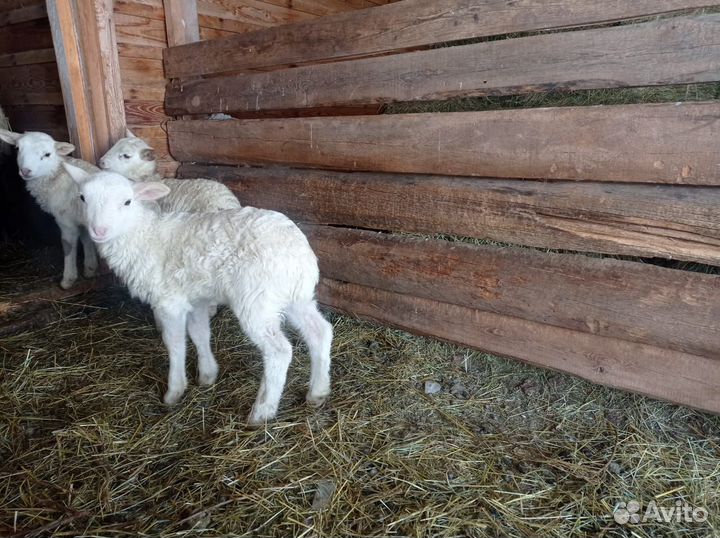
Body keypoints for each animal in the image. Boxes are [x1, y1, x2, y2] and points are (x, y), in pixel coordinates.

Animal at [0, 129, 99, 289]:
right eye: (17, 148)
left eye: (47, 154)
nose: (26, 171)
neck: (56, 175)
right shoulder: (81, 219)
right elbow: (86, 240)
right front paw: (90, 269)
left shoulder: (66, 221)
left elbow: (68, 246)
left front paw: (68, 280)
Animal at [63, 163, 333, 425]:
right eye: (83, 197)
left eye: (127, 201)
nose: (98, 230)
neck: (142, 235)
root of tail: (300, 254)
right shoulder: (196, 298)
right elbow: (200, 333)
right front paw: (207, 374)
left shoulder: (169, 302)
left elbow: (175, 343)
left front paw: (174, 390)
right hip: (295, 296)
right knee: (320, 332)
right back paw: (317, 393)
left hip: (257, 299)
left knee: (279, 351)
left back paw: (262, 411)